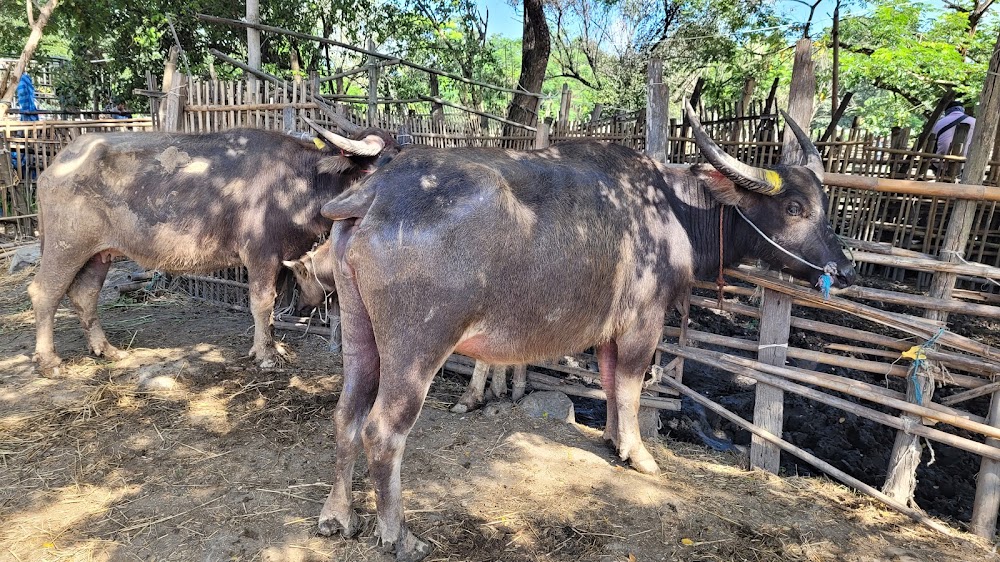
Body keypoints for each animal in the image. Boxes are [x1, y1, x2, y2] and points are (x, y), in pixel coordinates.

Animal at [26, 123, 398, 376]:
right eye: (381, 166)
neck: (299, 182)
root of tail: (54, 165)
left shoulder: (279, 260)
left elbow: (273, 305)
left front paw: (272, 346)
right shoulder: (260, 256)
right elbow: (262, 303)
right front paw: (266, 356)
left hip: (98, 254)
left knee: (85, 294)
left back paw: (106, 350)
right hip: (65, 246)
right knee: (45, 291)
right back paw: (49, 361)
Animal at [314, 101, 860, 560]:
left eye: (824, 204)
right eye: (794, 208)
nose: (846, 269)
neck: (674, 211)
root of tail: (375, 193)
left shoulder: (608, 331)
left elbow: (611, 382)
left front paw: (614, 440)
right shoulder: (644, 322)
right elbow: (633, 386)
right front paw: (640, 456)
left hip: (360, 331)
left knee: (345, 414)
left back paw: (337, 516)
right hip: (417, 347)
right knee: (383, 430)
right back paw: (398, 535)